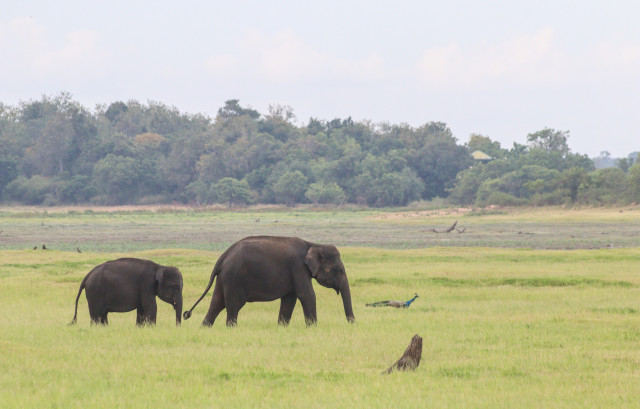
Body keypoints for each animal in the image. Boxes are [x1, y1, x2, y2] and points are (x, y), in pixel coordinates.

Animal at [183, 236, 355, 326]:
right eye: (338, 271)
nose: (352, 323)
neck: (313, 244)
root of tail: (223, 255)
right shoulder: (298, 268)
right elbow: (306, 295)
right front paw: (313, 328)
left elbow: (289, 299)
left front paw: (281, 328)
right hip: (234, 278)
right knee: (233, 305)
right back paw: (231, 329)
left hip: (224, 277)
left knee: (217, 303)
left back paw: (205, 328)